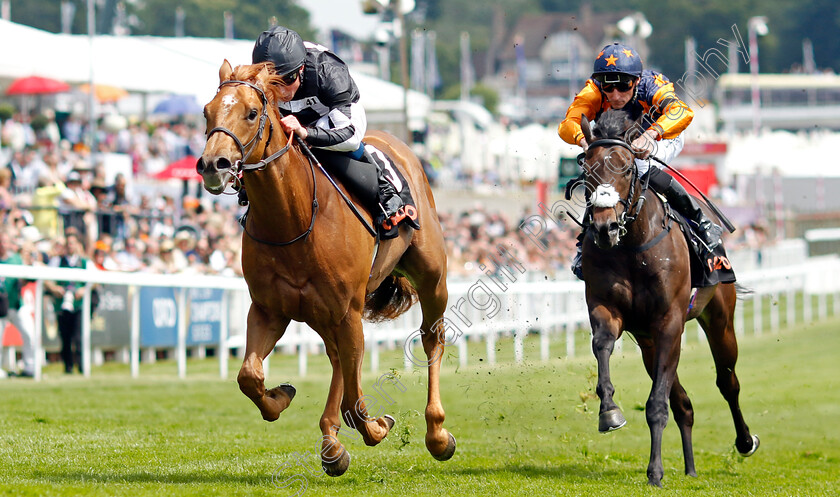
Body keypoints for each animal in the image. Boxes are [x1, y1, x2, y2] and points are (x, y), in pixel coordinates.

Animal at [194, 62, 456, 476]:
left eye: (251, 113)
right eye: (207, 112)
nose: (212, 165)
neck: (294, 219)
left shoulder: (348, 311)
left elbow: (355, 397)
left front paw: (378, 427)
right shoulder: (270, 309)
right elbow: (249, 375)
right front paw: (281, 397)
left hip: (431, 279)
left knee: (431, 339)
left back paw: (437, 434)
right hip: (321, 313)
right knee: (337, 361)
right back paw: (331, 439)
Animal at [576, 110, 760, 486]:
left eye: (626, 168)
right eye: (587, 169)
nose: (604, 228)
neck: (632, 246)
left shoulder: (670, 322)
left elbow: (656, 405)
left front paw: (655, 472)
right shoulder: (608, 309)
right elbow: (602, 345)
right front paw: (609, 412)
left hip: (718, 319)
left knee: (727, 381)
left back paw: (745, 441)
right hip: (648, 342)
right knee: (684, 404)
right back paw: (690, 468)